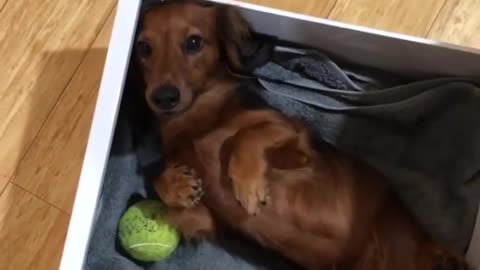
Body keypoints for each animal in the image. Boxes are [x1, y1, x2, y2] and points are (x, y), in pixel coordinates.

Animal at [134, 1, 464, 268]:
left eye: (193, 42)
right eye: (143, 48)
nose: (163, 98)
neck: (198, 120)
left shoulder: (296, 143)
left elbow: (248, 135)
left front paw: (248, 186)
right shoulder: (203, 219)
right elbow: (166, 186)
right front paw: (177, 185)